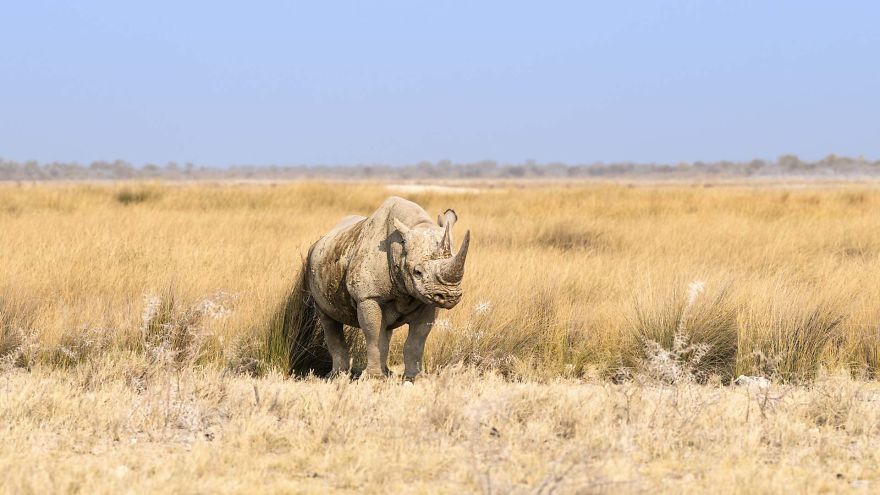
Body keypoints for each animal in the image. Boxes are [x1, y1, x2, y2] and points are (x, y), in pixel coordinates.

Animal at [287, 196, 470, 380]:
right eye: (417, 272)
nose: (450, 296)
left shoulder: (428, 301)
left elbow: (417, 340)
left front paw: (415, 378)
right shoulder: (368, 297)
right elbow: (374, 337)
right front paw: (374, 378)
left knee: (386, 330)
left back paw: (387, 373)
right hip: (311, 267)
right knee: (329, 321)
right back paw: (337, 376)